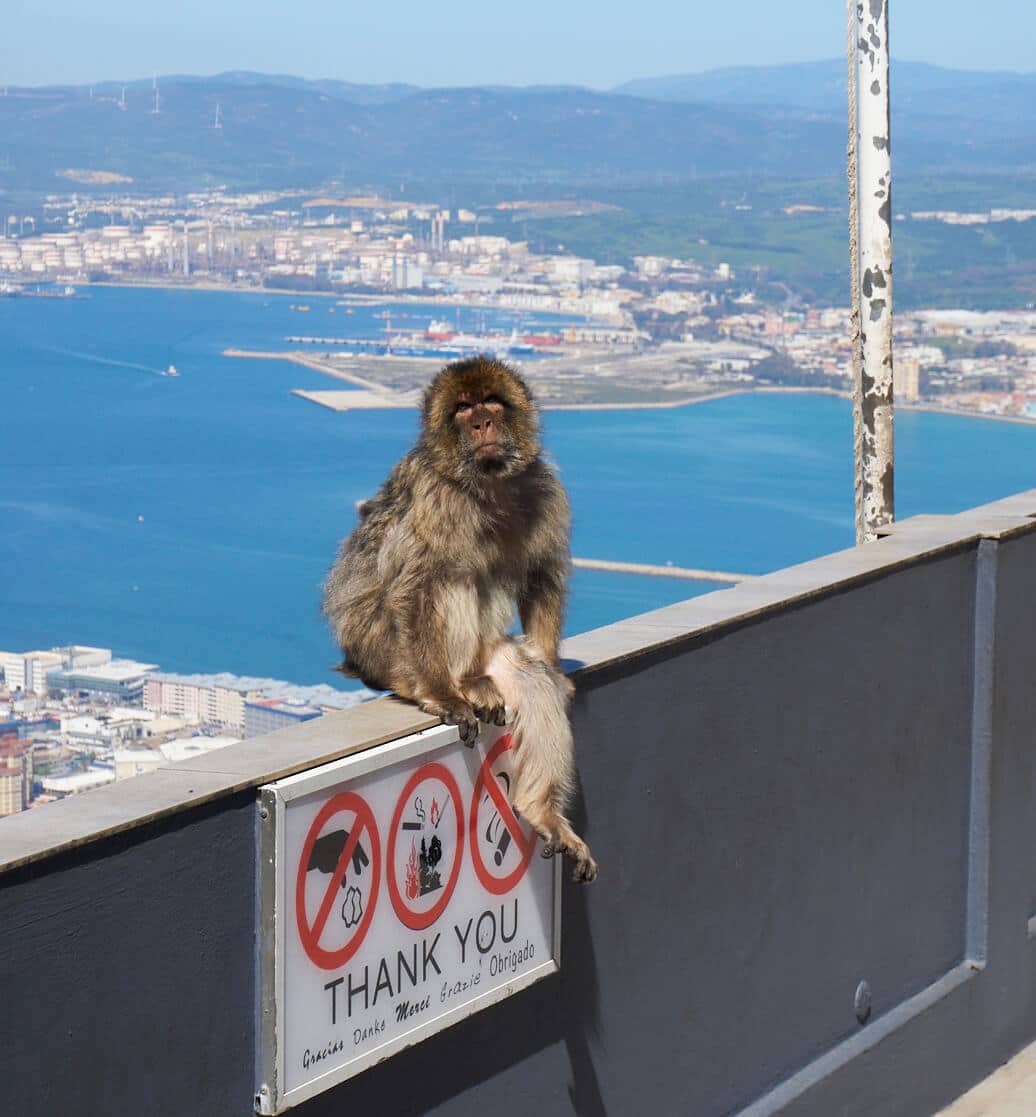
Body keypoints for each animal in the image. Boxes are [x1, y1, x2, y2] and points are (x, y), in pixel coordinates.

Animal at [323, 356, 596, 882]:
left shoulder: (545, 488)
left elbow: (541, 575)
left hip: (492, 652)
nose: (481, 423)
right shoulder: (436, 498)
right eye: (463, 409)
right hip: (388, 654)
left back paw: (540, 809)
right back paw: (457, 684)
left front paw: (555, 667)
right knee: (452, 579)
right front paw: (444, 696)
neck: (487, 483)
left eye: (491, 402)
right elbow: (414, 587)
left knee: (528, 675)